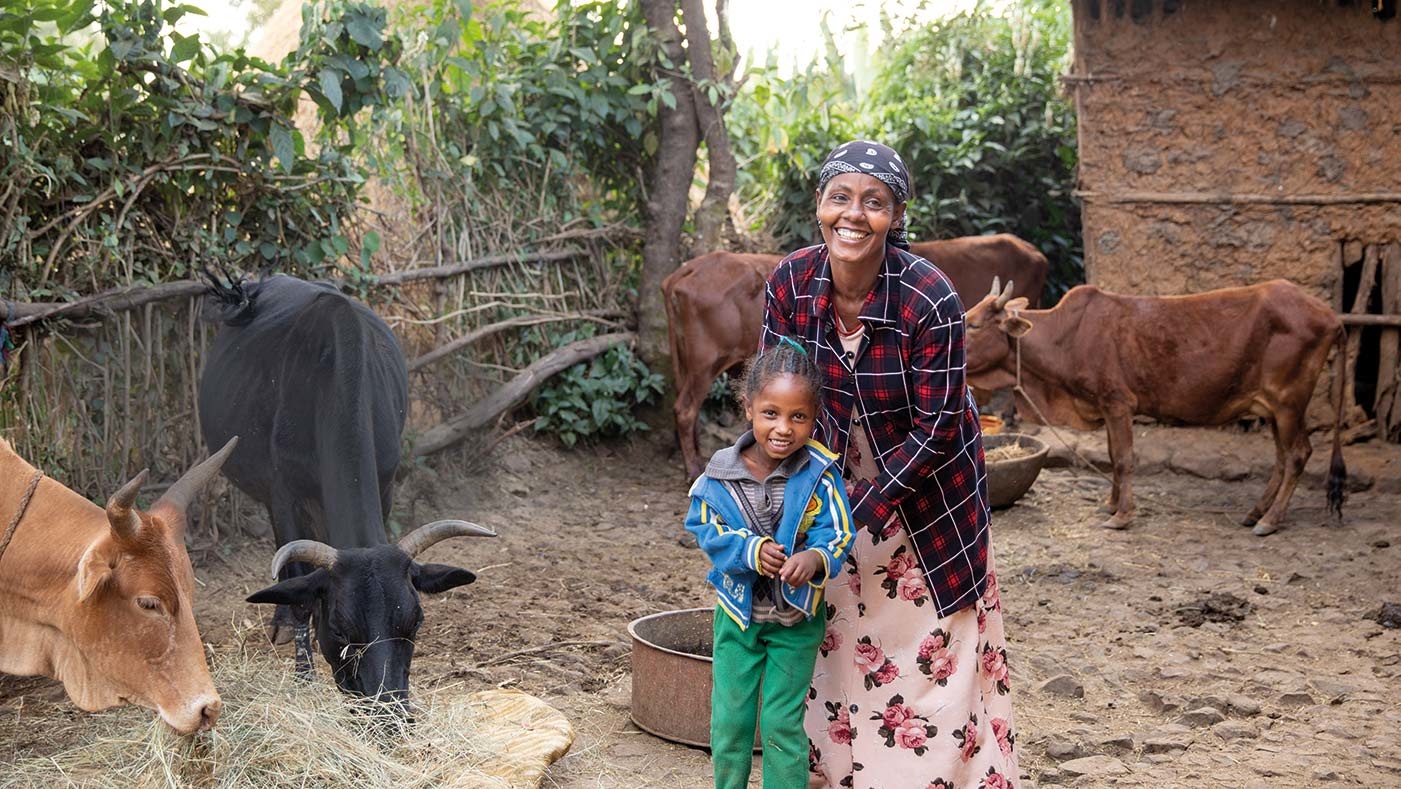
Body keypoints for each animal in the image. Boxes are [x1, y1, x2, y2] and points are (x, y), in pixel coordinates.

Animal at [200, 273, 495, 717]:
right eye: (340, 628)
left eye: (416, 621)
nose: (388, 712)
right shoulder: (285, 497)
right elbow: (300, 590)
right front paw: (303, 675)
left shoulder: (385, 481)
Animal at [963, 278, 1344, 538]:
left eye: (974, 325)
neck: (1067, 337)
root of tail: (1331, 316)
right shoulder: (1108, 407)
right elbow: (1113, 458)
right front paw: (1111, 504)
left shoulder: (1118, 402)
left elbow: (1124, 460)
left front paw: (1121, 516)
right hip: (1275, 408)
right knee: (1282, 458)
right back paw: (1256, 512)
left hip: (1289, 402)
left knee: (1297, 454)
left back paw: (1269, 520)